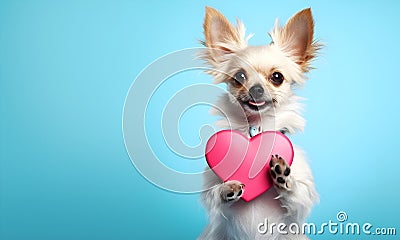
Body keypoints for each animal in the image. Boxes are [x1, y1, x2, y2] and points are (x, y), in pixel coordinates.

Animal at [198, 6, 320, 239]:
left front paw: (282, 176)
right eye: (239, 77)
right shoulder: (210, 193)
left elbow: (297, 195)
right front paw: (228, 189)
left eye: (277, 77)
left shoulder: (302, 201)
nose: (256, 89)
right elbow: (213, 195)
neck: (256, 128)